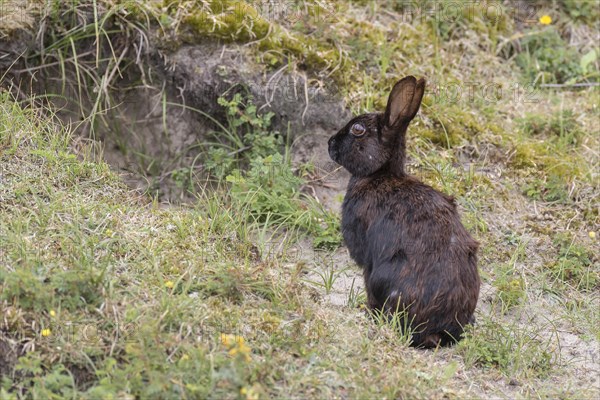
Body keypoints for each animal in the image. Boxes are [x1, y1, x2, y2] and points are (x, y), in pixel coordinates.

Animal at [326, 76, 480, 348]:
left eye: (357, 130)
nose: (329, 144)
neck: (379, 174)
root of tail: (438, 328)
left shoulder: (366, 259)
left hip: (384, 279)